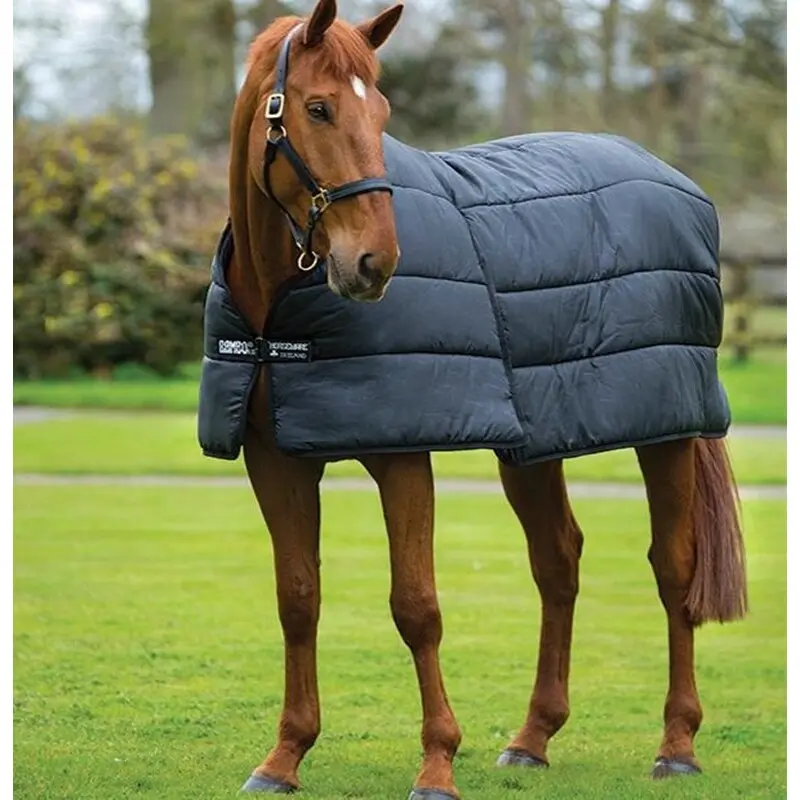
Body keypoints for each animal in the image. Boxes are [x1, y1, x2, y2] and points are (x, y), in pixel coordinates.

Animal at [220, 1, 748, 796]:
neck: (275, 311)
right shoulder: (276, 461)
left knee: (674, 568)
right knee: (559, 561)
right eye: (317, 108)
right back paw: (533, 738)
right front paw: (284, 757)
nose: (375, 263)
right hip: (536, 443)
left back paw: (677, 743)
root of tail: (671, 177)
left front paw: (437, 763)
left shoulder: (403, 455)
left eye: (381, 112)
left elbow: (416, 607)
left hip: (668, 432)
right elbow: (298, 600)